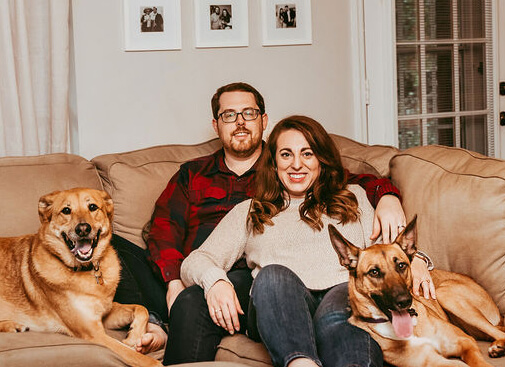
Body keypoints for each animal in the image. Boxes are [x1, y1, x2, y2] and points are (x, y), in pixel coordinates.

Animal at [0, 188, 159, 367]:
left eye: (92, 207)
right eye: (66, 210)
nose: (83, 229)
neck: (87, 269)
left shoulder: (106, 314)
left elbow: (141, 309)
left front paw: (133, 337)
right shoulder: (94, 333)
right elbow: (143, 359)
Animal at [326, 217, 504, 366]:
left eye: (401, 265)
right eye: (374, 272)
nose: (405, 301)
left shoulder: (466, 342)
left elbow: (480, 363)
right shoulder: (432, 361)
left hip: (445, 295)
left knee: (498, 331)